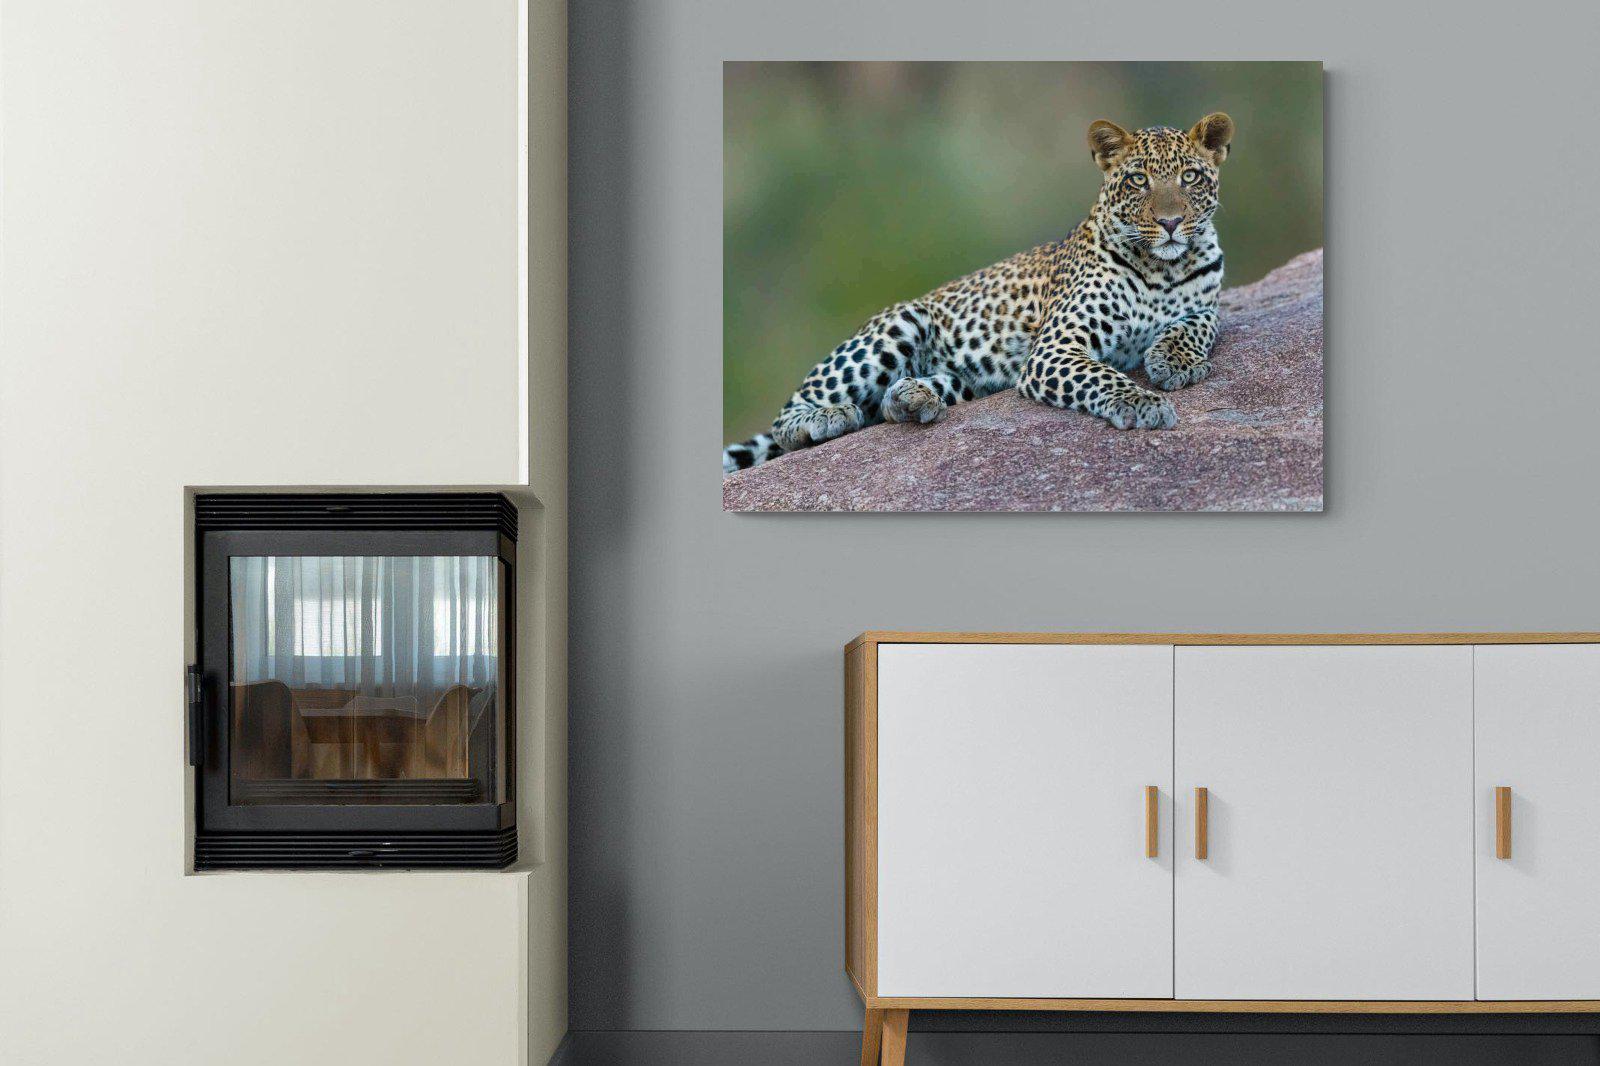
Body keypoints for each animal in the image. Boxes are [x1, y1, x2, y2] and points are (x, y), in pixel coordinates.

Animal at [722, 112, 1235, 475]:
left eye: (1189, 177)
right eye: (1137, 180)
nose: (1170, 222)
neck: (1163, 267)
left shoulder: (1207, 303)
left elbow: (1197, 325)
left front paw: (1176, 361)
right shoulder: (1055, 348)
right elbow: (1103, 376)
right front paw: (1143, 402)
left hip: (967, 379)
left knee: (891, 402)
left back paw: (912, 398)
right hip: (898, 324)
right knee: (788, 418)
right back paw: (826, 418)